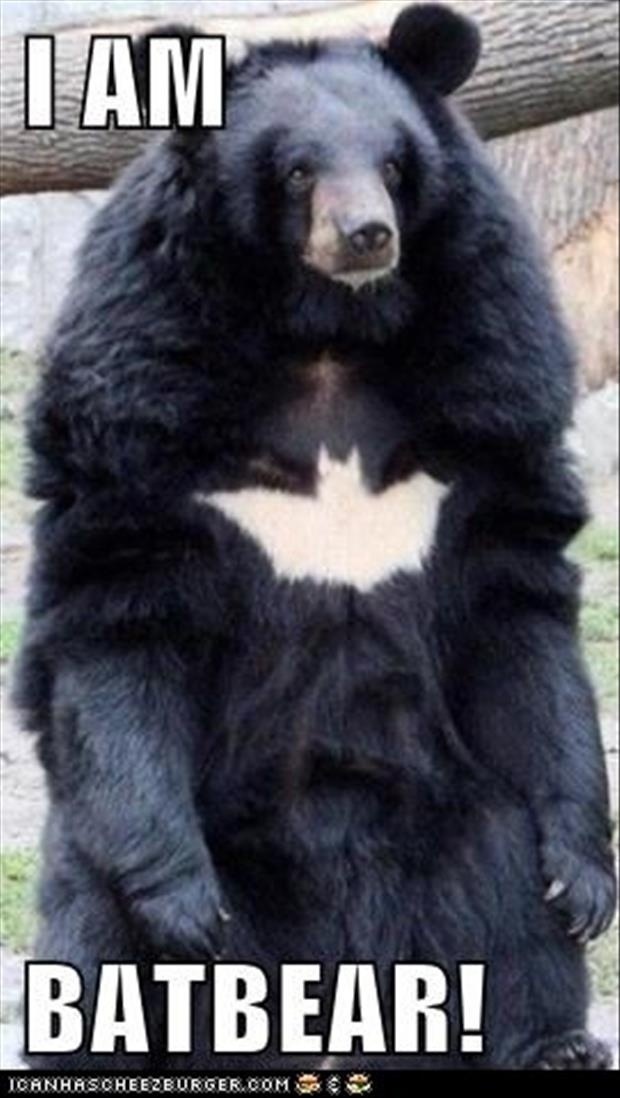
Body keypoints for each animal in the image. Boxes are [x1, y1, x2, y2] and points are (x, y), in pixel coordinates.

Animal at [15, 1, 616, 1072]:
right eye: (297, 170)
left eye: (395, 163)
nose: (367, 234)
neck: (327, 329)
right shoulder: (135, 381)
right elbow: (121, 599)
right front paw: (185, 913)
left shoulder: (494, 369)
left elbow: (515, 592)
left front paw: (586, 878)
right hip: (117, 840)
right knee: (93, 932)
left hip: (455, 813)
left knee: (508, 898)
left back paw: (551, 1040)